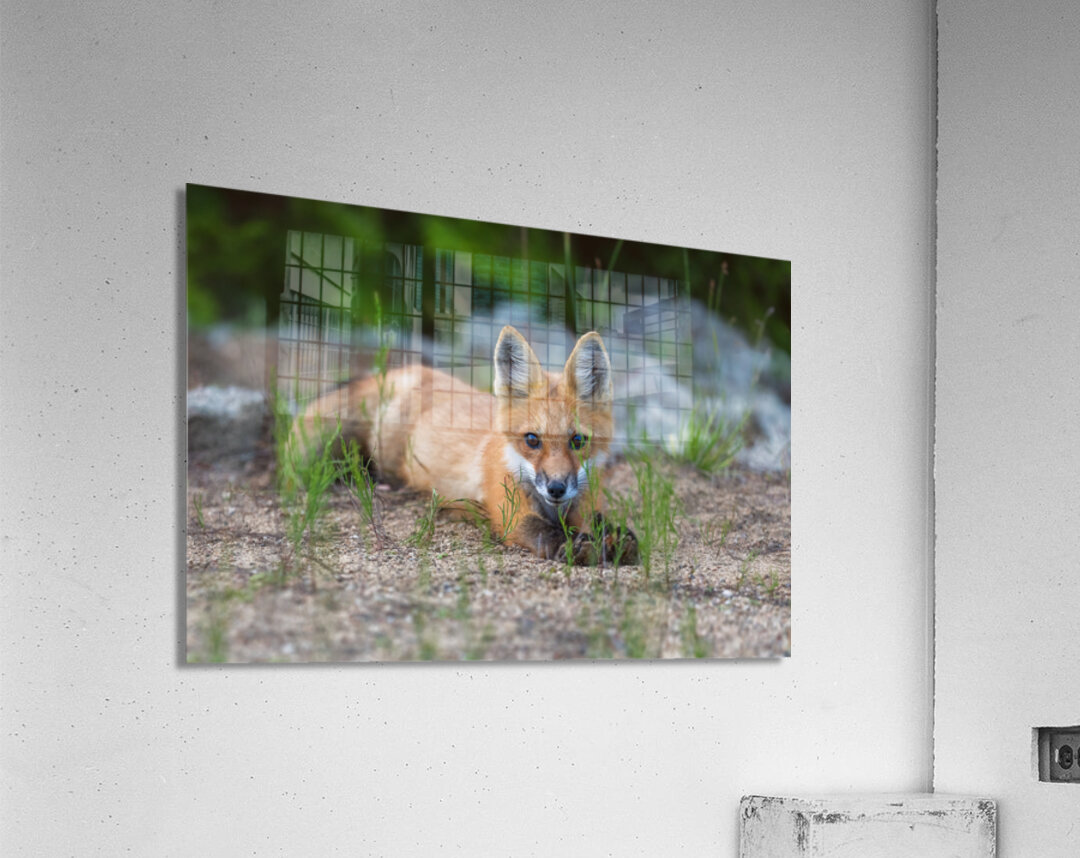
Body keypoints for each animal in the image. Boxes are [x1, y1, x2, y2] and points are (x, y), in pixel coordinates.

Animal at [290, 325, 638, 565]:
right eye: (532, 440)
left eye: (577, 440)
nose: (556, 488)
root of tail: (406, 371)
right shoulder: (509, 513)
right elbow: (544, 530)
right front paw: (578, 545)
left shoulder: (587, 502)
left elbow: (603, 521)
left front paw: (618, 538)